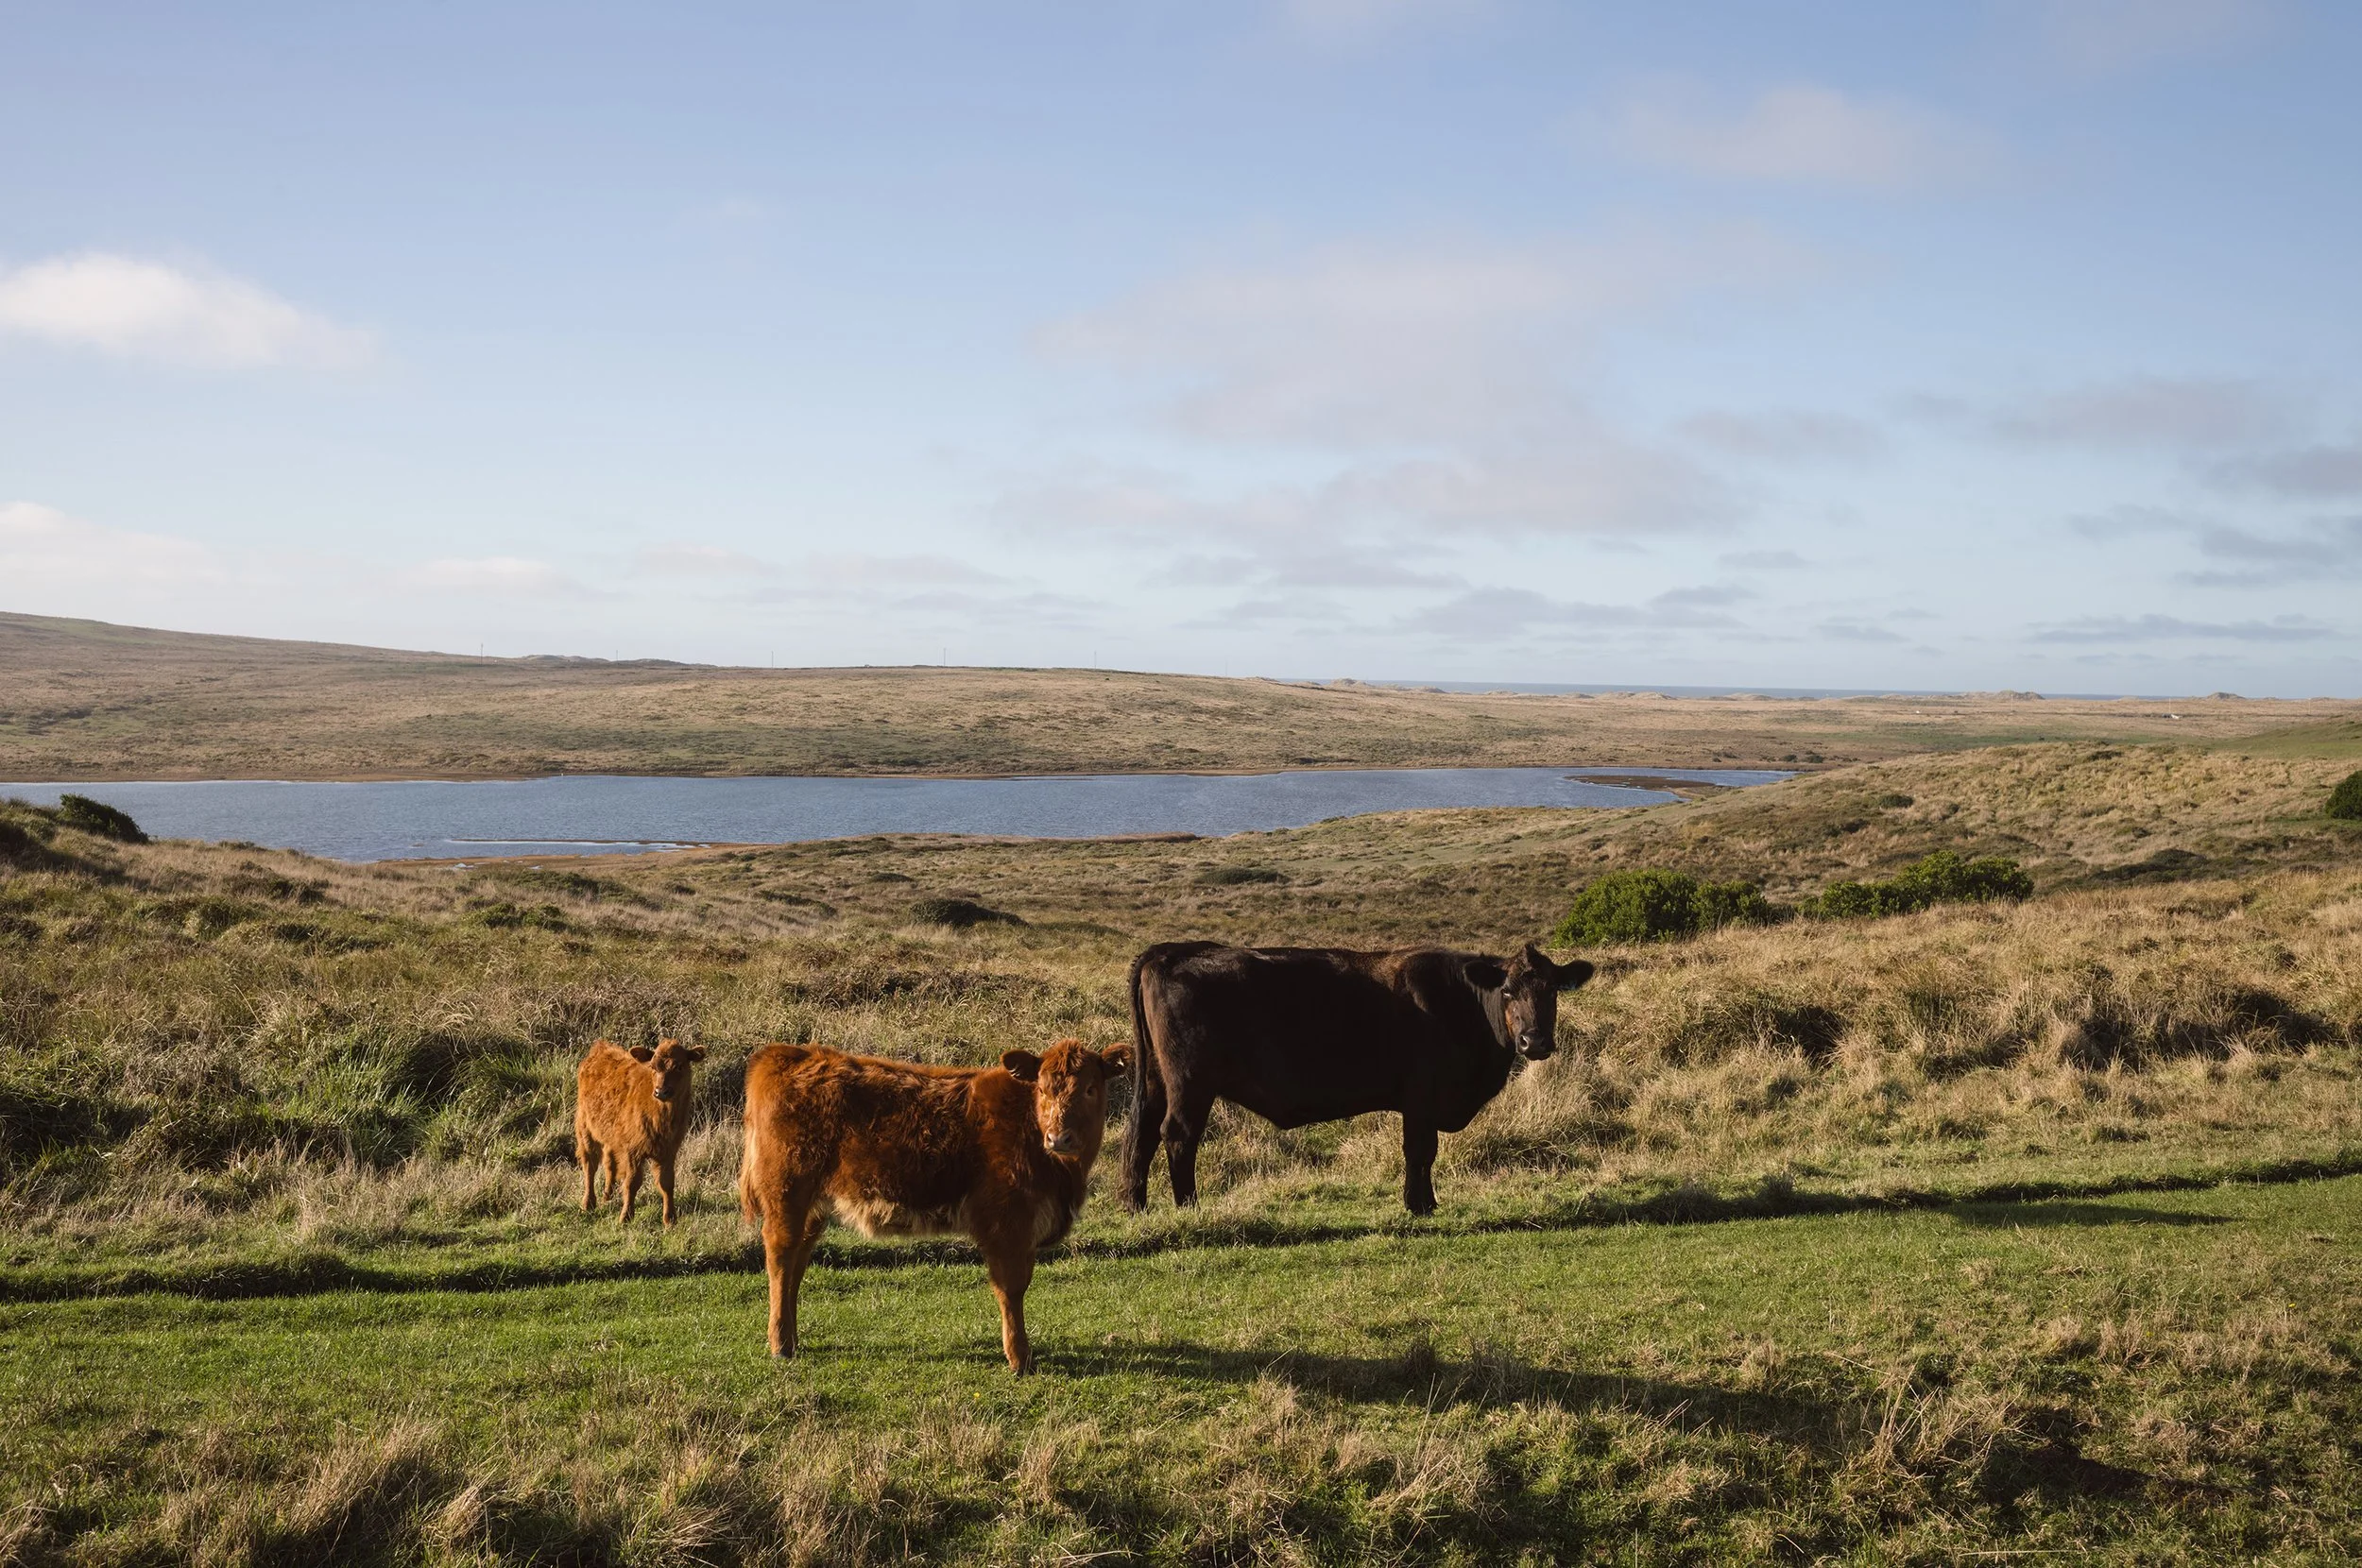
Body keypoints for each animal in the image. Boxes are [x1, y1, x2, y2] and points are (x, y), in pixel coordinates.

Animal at [575, 1037, 706, 1226]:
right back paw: (588, 1203)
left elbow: (667, 1182)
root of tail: (601, 1048)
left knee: (609, 1161)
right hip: (585, 1129)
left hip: (611, 1135)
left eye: (679, 1066)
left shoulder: (669, 1150)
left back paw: (607, 1195)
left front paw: (670, 1218)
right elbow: (632, 1182)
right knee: (589, 1165)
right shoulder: (633, 1150)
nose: (661, 1091)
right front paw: (626, 1216)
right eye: (653, 1066)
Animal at [738, 1037, 1133, 1374]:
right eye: (1043, 1088)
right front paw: (1020, 1358)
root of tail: (787, 1054)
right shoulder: (1006, 1223)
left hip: (813, 1205)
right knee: (781, 1258)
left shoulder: (1025, 1228)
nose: (1059, 1137)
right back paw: (780, 1344)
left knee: (798, 1263)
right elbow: (1011, 1287)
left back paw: (791, 1340)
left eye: (1090, 1089)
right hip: (786, 1193)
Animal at [1122, 941, 1593, 1216]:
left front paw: (1426, 1201)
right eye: (1508, 991)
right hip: (1190, 1084)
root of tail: (1168, 951)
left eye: (1552, 990)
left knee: (1142, 1134)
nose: (1535, 1041)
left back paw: (1135, 1205)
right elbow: (1420, 1152)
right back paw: (1188, 1206)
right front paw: (1419, 1206)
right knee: (1177, 1135)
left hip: (1157, 1082)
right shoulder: (1421, 1097)